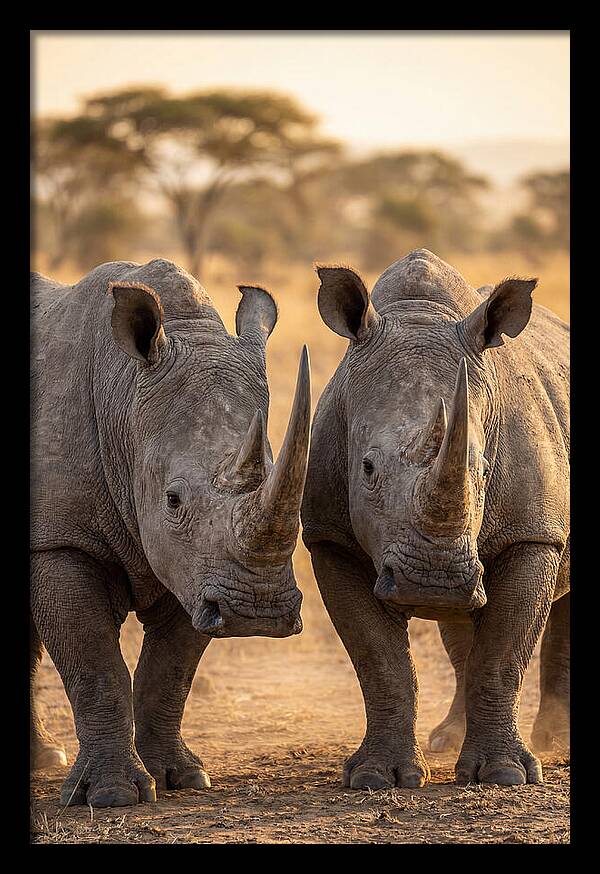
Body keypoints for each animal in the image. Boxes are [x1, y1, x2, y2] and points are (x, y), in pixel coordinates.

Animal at [30, 258, 311, 807]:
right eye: (173, 500)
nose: (257, 612)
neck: (123, 395)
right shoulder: (60, 538)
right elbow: (94, 664)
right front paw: (111, 796)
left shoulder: (198, 568)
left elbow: (170, 670)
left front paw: (180, 777)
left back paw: (44, 758)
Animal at [302, 249, 569, 788]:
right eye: (367, 468)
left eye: (482, 469)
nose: (434, 581)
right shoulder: (329, 537)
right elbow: (379, 662)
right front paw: (377, 777)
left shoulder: (534, 534)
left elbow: (503, 655)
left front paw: (506, 775)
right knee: (462, 625)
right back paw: (448, 738)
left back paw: (556, 740)